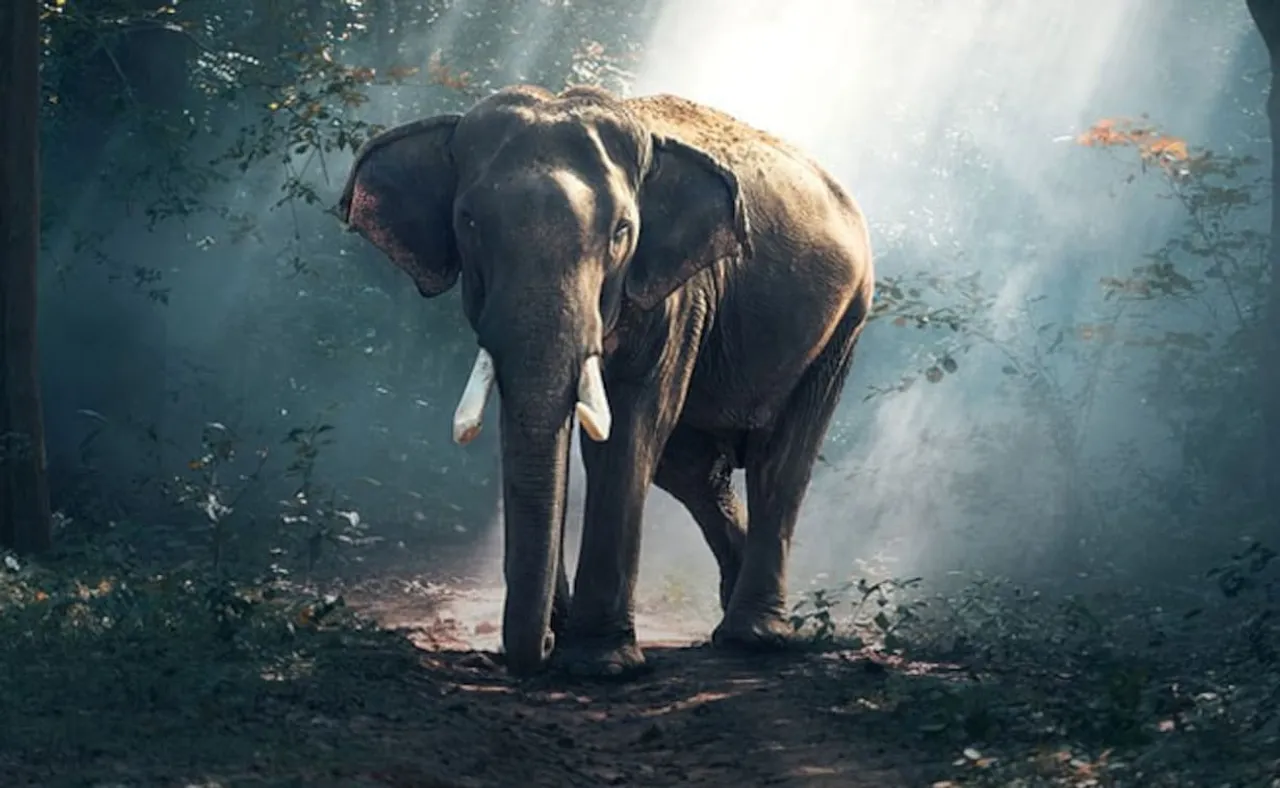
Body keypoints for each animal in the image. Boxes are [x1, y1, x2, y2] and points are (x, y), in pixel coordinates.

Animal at [338, 84, 874, 678]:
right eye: (468, 222)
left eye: (621, 231)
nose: (542, 646)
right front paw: (565, 637)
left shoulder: (677, 294)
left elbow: (629, 430)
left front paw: (600, 664)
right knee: (692, 469)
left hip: (845, 321)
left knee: (778, 461)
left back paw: (754, 638)